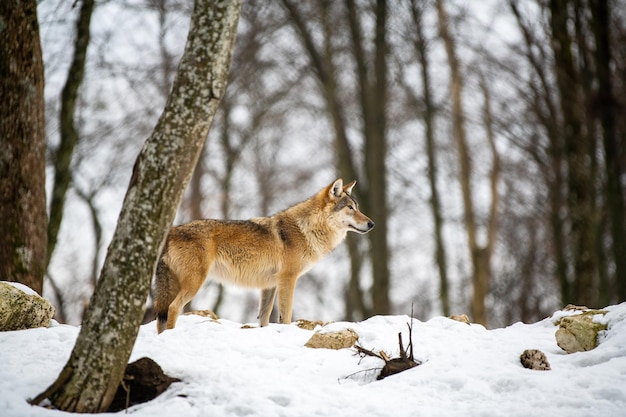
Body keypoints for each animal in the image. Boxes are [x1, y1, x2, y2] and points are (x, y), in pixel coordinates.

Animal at [154, 178, 372, 332]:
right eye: (350, 208)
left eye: (358, 207)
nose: (372, 224)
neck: (306, 229)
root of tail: (171, 231)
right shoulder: (287, 279)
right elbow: (285, 317)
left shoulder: (269, 285)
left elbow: (264, 318)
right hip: (194, 283)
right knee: (173, 308)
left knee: (161, 316)